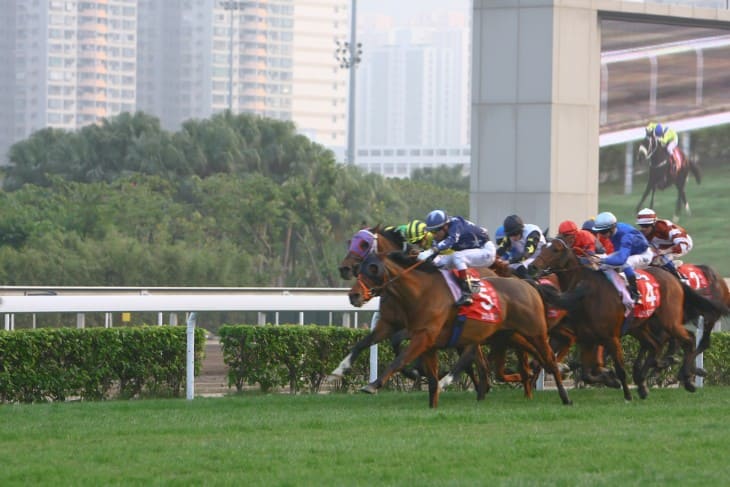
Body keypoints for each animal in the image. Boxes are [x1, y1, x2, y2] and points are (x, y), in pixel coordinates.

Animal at [346, 250, 568, 410]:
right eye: (358, 269)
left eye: (373, 269)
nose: (354, 295)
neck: (421, 292)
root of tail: (527, 284)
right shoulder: (422, 340)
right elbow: (431, 379)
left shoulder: (422, 337)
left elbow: (399, 360)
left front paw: (372, 385)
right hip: (506, 334)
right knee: (519, 360)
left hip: (534, 331)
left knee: (548, 358)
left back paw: (565, 396)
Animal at [524, 237, 724, 400]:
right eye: (541, 247)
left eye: (556, 249)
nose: (533, 267)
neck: (587, 293)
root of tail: (674, 279)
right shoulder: (587, 338)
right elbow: (587, 373)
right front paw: (610, 379)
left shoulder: (611, 337)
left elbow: (619, 369)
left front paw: (626, 393)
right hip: (640, 326)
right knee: (655, 345)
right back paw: (644, 383)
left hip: (670, 321)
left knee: (688, 340)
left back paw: (686, 378)